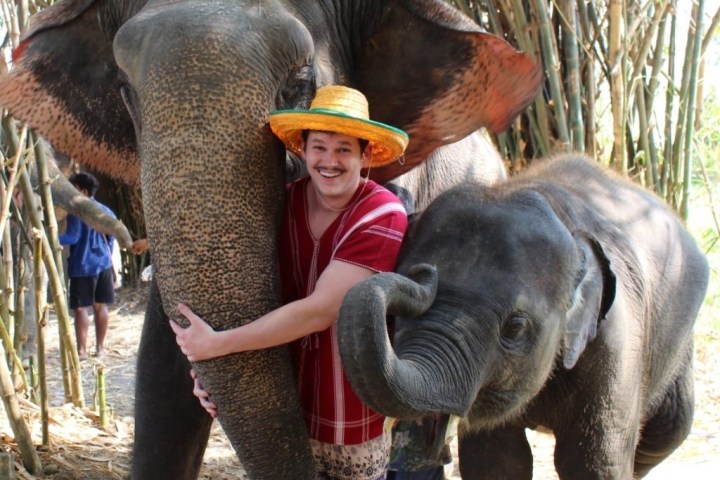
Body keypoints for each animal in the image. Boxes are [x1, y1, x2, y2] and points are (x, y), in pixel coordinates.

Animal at [337, 155, 710, 479]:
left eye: (515, 328)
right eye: (396, 317)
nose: (424, 274)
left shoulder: (616, 339)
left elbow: (592, 462)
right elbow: (495, 460)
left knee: (669, 430)